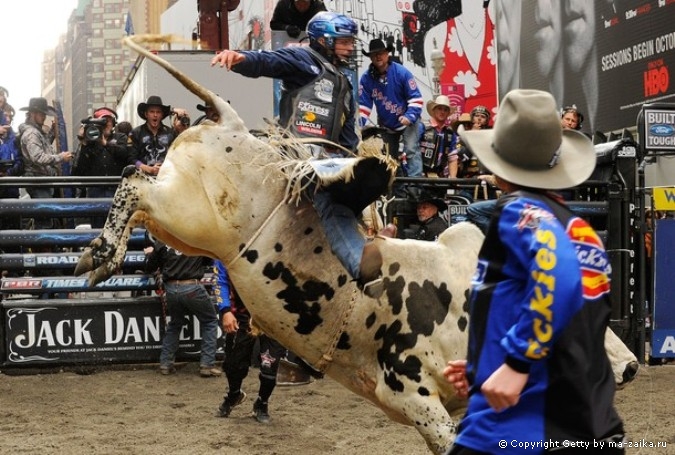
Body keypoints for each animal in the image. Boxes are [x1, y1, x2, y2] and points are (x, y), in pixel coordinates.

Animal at [74, 35, 640, 455]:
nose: (633, 367)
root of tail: (230, 124)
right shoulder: (414, 395)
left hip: (179, 222)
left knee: (140, 192)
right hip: (191, 213)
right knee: (133, 180)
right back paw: (99, 255)